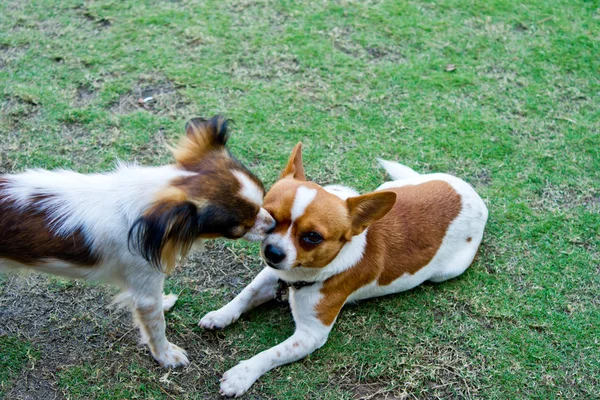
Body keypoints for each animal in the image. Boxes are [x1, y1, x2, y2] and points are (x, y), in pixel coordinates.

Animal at [0, 115, 276, 368]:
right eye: (239, 226)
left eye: (264, 198)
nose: (273, 224)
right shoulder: (145, 286)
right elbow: (156, 327)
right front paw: (166, 355)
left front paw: (165, 303)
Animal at [202, 142, 488, 396]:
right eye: (269, 218)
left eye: (313, 237)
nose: (273, 252)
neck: (302, 274)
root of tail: (477, 199)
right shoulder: (272, 274)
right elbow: (246, 294)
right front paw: (221, 315)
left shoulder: (310, 335)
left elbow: (272, 353)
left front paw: (242, 375)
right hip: (391, 188)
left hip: (446, 272)